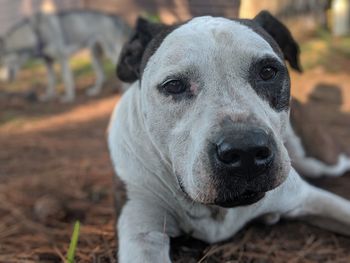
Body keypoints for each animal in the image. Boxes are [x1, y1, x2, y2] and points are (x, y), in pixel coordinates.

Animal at [0, 10, 131, 102]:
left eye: (5, 61)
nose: (5, 78)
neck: (36, 33)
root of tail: (113, 17)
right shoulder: (48, 62)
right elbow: (51, 81)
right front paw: (49, 96)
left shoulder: (62, 58)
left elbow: (66, 79)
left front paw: (69, 97)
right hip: (95, 56)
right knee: (101, 75)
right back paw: (95, 90)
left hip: (111, 53)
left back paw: (125, 89)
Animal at [108, 12, 350, 263]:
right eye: (173, 85)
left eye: (267, 72)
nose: (246, 150)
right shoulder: (141, 231)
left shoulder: (308, 198)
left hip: (320, 161)